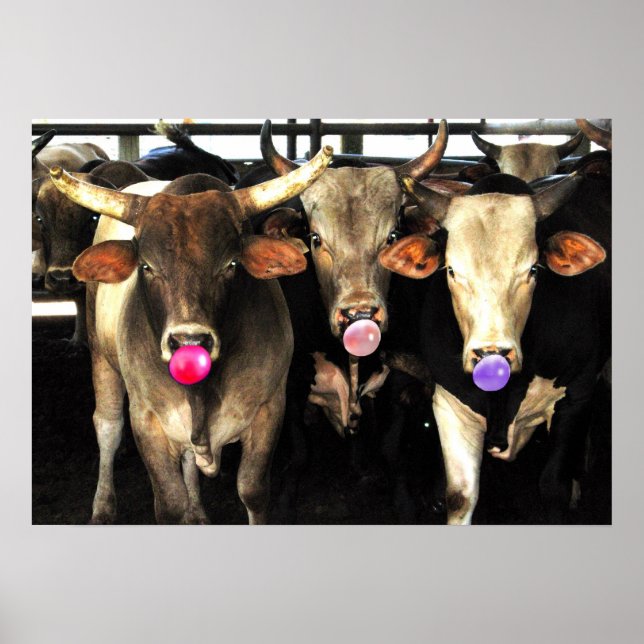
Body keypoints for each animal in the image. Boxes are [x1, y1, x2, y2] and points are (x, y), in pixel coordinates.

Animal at [47, 144, 333, 524]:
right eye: (147, 266)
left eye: (231, 264)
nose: (189, 342)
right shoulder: (147, 419)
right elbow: (169, 503)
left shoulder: (270, 408)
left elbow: (253, 492)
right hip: (100, 357)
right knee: (107, 426)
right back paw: (103, 506)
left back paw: (197, 512)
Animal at [381, 170, 610, 524]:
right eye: (451, 270)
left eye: (533, 269)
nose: (492, 354)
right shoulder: (449, 405)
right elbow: (459, 497)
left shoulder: (575, 396)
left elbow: (553, 487)